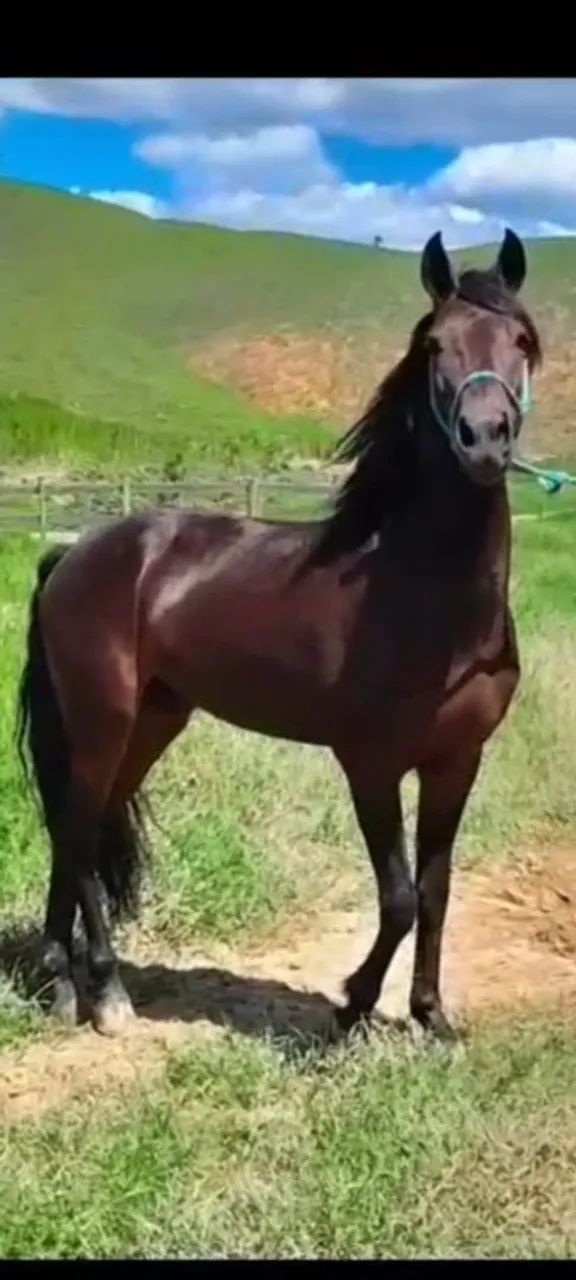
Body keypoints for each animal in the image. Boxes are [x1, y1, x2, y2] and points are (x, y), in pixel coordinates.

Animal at [16, 228, 542, 1042]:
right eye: (435, 345)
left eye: (521, 341)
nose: (484, 439)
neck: (428, 599)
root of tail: (74, 552)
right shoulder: (370, 764)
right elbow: (397, 897)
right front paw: (352, 1005)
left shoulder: (458, 761)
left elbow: (435, 890)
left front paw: (431, 1017)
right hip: (103, 719)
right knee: (75, 829)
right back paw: (102, 992)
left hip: (152, 721)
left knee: (81, 828)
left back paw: (59, 979)